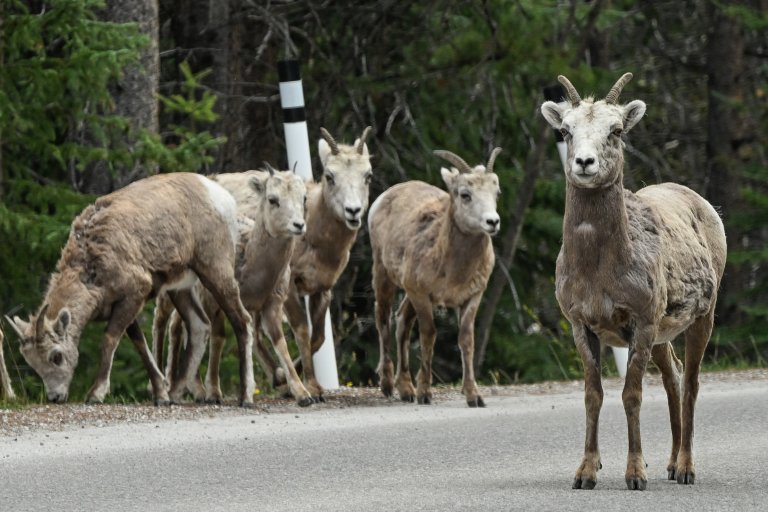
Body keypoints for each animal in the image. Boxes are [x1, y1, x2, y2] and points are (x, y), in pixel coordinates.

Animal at [5, 173, 256, 406]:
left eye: (56, 356)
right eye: (32, 362)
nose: (55, 397)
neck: (92, 270)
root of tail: (220, 196)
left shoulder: (134, 294)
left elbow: (109, 339)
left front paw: (96, 394)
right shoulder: (126, 304)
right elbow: (140, 345)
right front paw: (161, 396)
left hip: (215, 270)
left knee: (242, 321)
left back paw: (245, 397)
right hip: (181, 288)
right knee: (199, 325)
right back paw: (176, 394)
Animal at [153, 166, 313, 406]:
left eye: (303, 197)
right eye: (272, 199)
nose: (298, 225)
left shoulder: (271, 306)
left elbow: (280, 343)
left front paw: (302, 394)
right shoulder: (216, 303)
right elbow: (219, 339)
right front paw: (214, 393)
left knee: (180, 327)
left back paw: (191, 388)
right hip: (168, 293)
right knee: (161, 323)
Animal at [368, 148, 503, 408]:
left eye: (496, 192)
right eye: (465, 194)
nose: (492, 222)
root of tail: (382, 198)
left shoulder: (472, 297)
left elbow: (466, 340)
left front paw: (474, 396)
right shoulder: (422, 295)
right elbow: (428, 335)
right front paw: (424, 393)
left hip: (408, 292)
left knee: (402, 321)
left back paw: (406, 390)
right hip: (384, 275)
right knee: (383, 319)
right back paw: (388, 386)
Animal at [540, 73, 727, 490]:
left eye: (617, 130)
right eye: (565, 129)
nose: (584, 162)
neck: (600, 272)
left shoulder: (641, 321)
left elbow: (632, 395)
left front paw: (636, 475)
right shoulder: (582, 324)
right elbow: (593, 395)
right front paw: (586, 474)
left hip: (702, 317)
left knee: (691, 384)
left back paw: (686, 469)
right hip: (663, 333)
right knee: (674, 377)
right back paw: (670, 465)